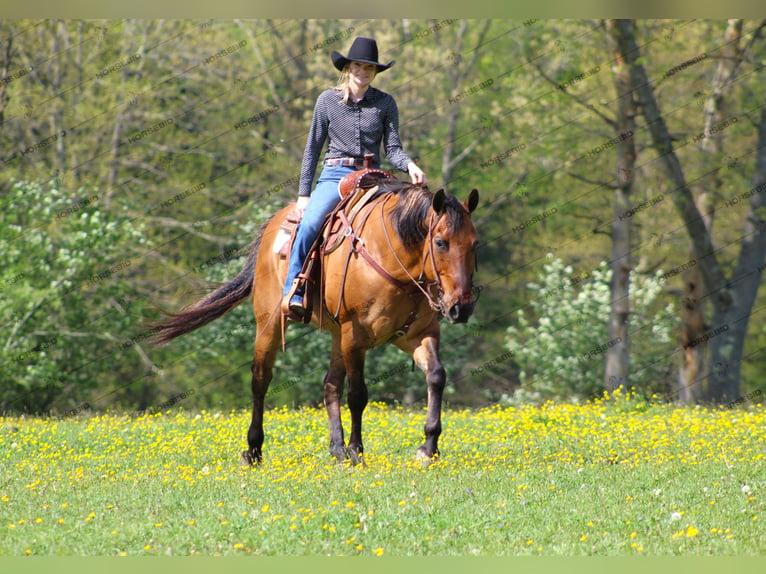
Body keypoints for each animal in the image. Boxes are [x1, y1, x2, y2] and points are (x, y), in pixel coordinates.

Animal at [150, 180, 480, 468]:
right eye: (440, 242)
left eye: (474, 244)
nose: (461, 307)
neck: (393, 260)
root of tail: (273, 225)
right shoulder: (354, 337)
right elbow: (358, 395)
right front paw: (357, 452)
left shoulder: (418, 335)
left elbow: (436, 376)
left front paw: (428, 448)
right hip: (270, 324)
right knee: (260, 380)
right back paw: (254, 450)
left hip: (335, 336)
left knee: (330, 385)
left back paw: (336, 449)